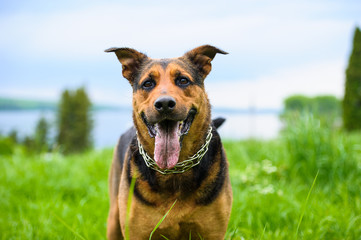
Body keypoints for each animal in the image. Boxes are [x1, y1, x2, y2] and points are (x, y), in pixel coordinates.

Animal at [105, 45, 232, 240]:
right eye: (147, 83)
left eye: (183, 80)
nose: (164, 104)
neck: (174, 171)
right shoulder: (136, 232)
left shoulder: (212, 232)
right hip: (114, 218)